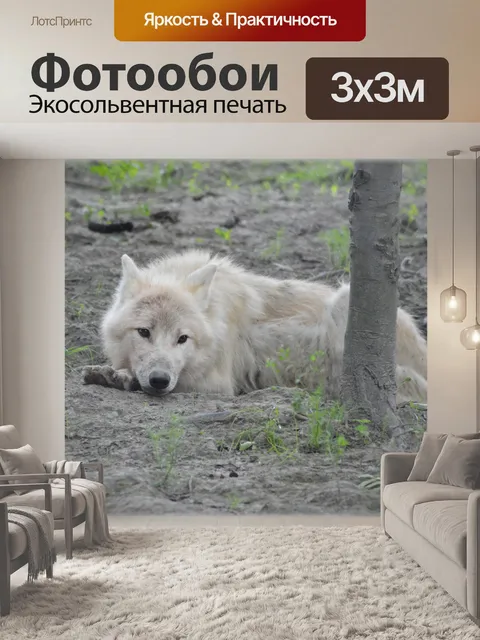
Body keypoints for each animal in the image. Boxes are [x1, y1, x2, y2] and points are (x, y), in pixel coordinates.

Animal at [82, 249, 427, 404]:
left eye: (182, 339)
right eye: (144, 332)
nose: (159, 380)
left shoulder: (217, 384)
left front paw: (120, 377)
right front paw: (109, 373)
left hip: (346, 302)